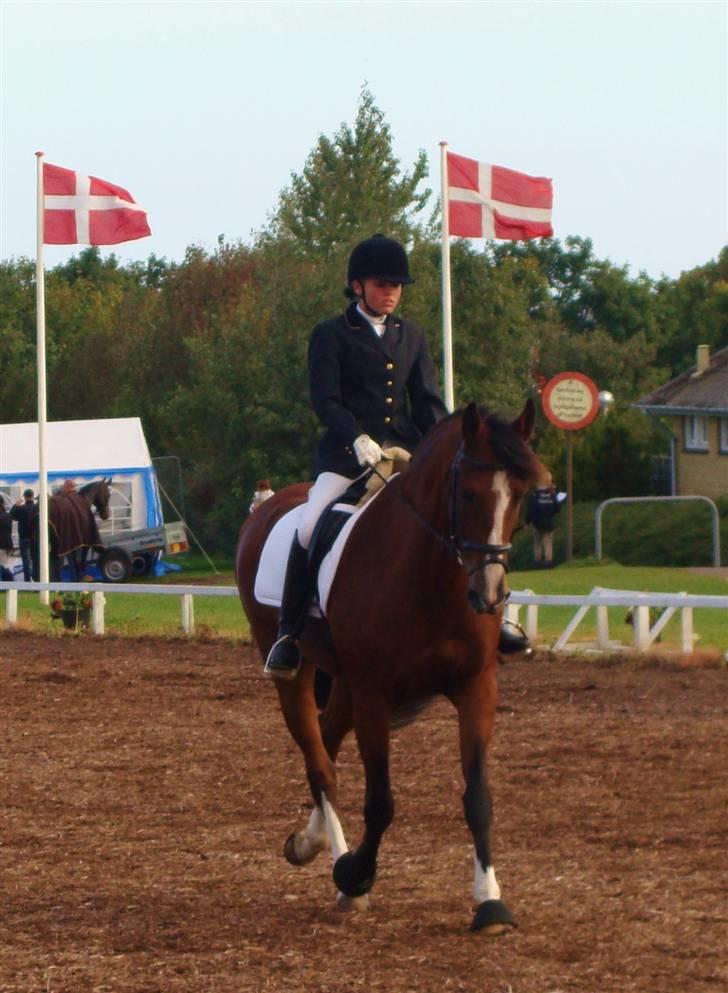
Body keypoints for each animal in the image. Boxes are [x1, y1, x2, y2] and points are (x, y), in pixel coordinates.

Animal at [236, 398, 548, 928]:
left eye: (521, 496)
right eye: (467, 493)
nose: (489, 595)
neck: (431, 577)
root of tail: (268, 508)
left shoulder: (476, 686)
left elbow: (478, 797)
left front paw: (490, 901)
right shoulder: (374, 695)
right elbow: (380, 802)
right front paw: (355, 874)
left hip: (343, 682)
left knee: (328, 742)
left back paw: (310, 841)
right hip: (294, 671)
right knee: (319, 761)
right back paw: (339, 864)